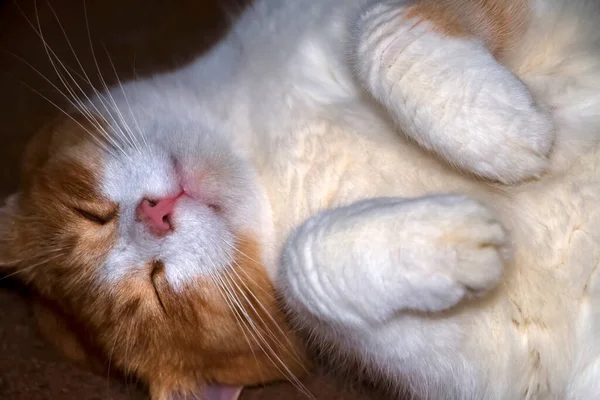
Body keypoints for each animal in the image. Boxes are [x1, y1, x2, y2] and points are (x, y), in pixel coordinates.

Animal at [1, 0, 600, 398]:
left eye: (90, 214)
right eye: (159, 290)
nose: (156, 215)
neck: (259, 148)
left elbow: (377, 37)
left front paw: (492, 126)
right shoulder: (459, 360)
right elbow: (296, 266)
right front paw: (452, 236)